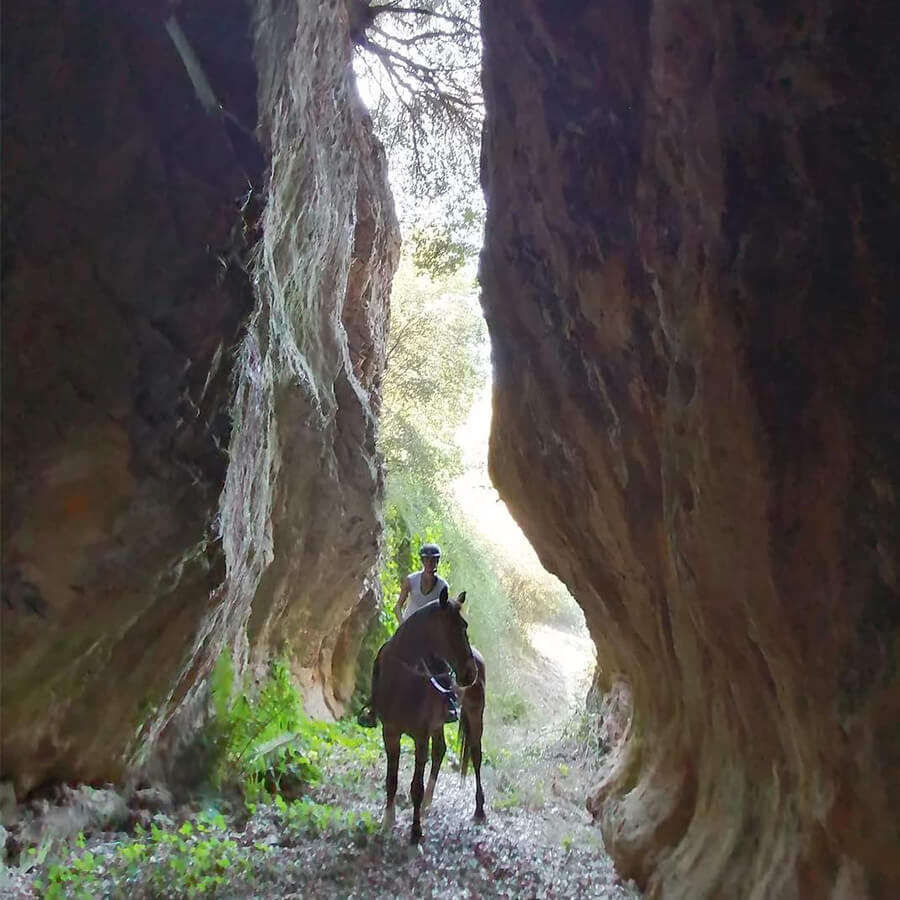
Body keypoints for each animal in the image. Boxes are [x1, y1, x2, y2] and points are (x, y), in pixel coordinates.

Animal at [372, 585, 487, 843]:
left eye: (465, 625)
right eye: (458, 626)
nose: (470, 673)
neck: (401, 681)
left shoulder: (420, 738)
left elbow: (416, 786)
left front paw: (415, 834)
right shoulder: (390, 733)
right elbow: (391, 781)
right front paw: (387, 823)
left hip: (475, 715)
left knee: (476, 756)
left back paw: (479, 810)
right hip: (438, 724)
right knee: (441, 750)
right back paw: (427, 803)